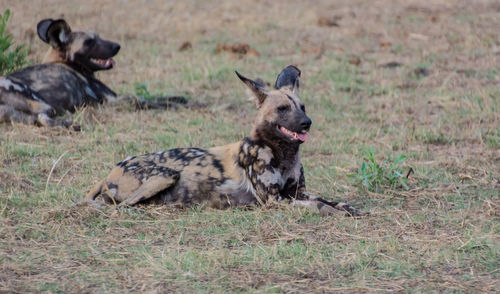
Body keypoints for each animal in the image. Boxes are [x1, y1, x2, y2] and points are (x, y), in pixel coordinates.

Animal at [88, 65, 366, 217]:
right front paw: (335, 213)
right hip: (166, 175)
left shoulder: (297, 192)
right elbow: (319, 206)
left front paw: (350, 209)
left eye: (303, 107)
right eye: (283, 109)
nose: (307, 122)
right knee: (119, 206)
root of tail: (110, 172)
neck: (283, 154)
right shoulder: (274, 200)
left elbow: (331, 200)